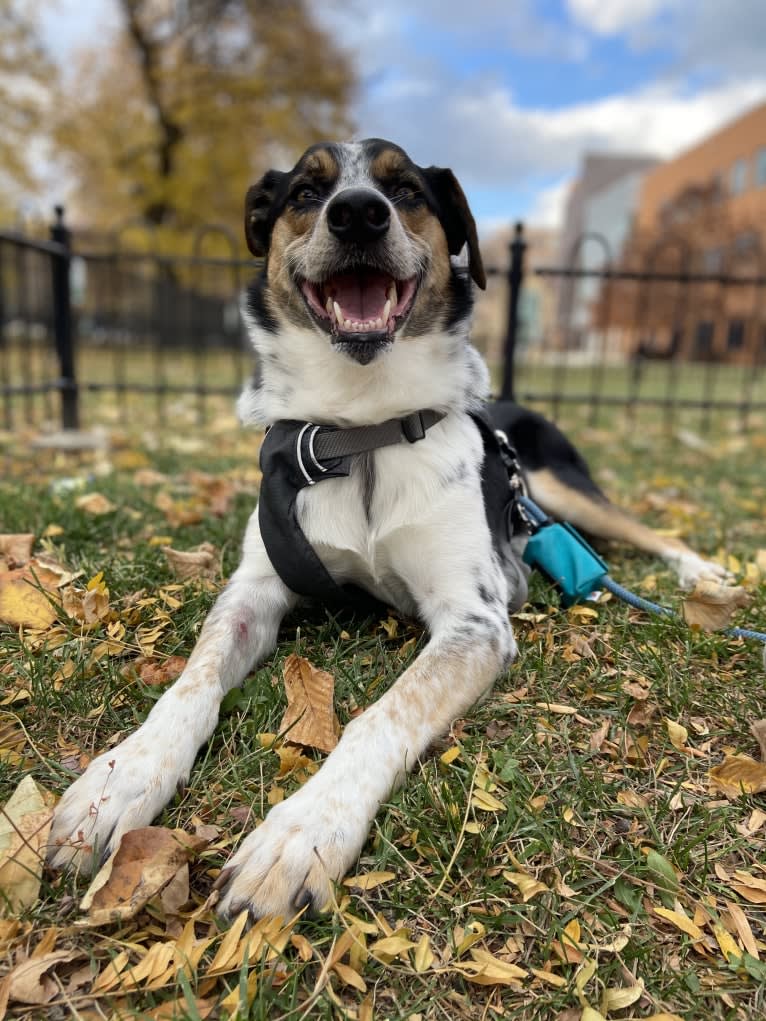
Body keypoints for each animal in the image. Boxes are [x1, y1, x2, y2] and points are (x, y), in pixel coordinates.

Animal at [48, 133, 731, 918]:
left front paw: (301, 832)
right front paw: (120, 778)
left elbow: (383, 714)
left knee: (648, 532)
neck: (359, 430)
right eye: (306, 194)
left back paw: (707, 574)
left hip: (560, 484)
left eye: (405, 191)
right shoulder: (255, 587)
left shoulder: (475, 620)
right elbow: (191, 682)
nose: (357, 215)